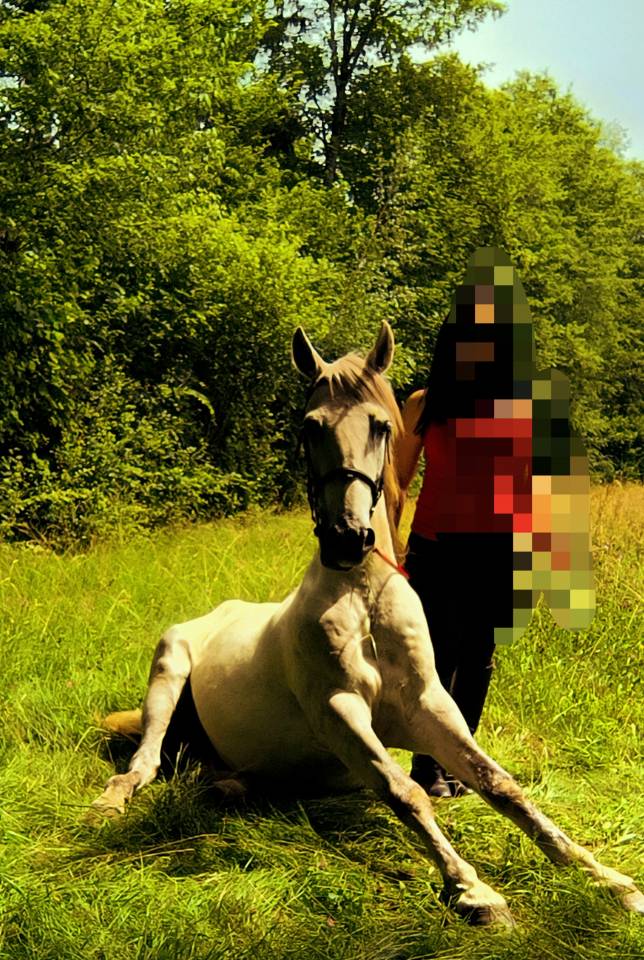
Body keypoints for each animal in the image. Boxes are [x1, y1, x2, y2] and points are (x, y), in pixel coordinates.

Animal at [92, 321, 643, 926]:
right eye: (310, 427)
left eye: (380, 425)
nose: (346, 539)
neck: (363, 596)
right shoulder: (338, 709)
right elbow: (404, 791)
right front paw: (474, 891)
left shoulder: (430, 706)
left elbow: (501, 785)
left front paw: (608, 880)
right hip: (168, 669)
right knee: (144, 762)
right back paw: (111, 801)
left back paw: (229, 787)